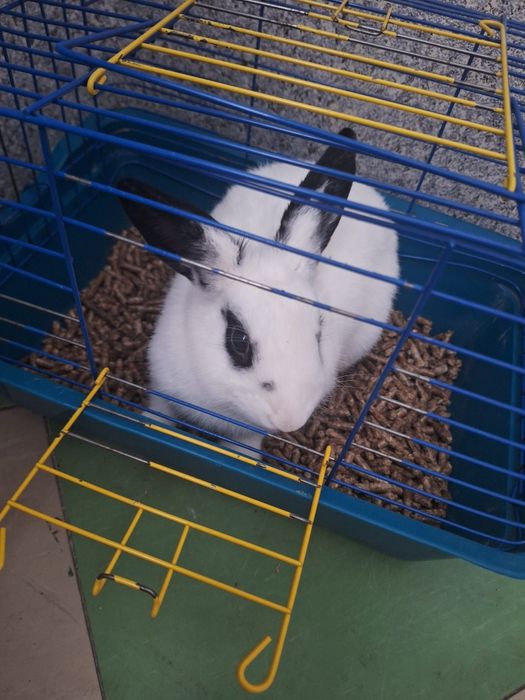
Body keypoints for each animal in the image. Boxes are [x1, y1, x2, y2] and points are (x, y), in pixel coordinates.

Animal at [118, 127, 399, 455]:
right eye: (239, 342)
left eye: (318, 334)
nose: (290, 420)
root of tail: (373, 196)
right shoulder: (162, 389)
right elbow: (157, 415)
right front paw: (148, 426)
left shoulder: (249, 433)